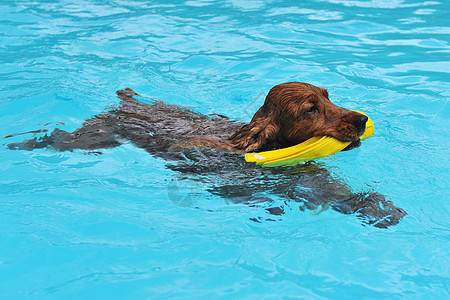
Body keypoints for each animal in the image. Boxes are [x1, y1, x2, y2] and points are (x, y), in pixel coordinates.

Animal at [6, 82, 408, 227]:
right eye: (311, 108)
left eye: (328, 95)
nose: (362, 120)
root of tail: (129, 101)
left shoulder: (311, 178)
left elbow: (343, 194)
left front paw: (381, 209)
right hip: (95, 137)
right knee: (58, 137)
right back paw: (20, 144)